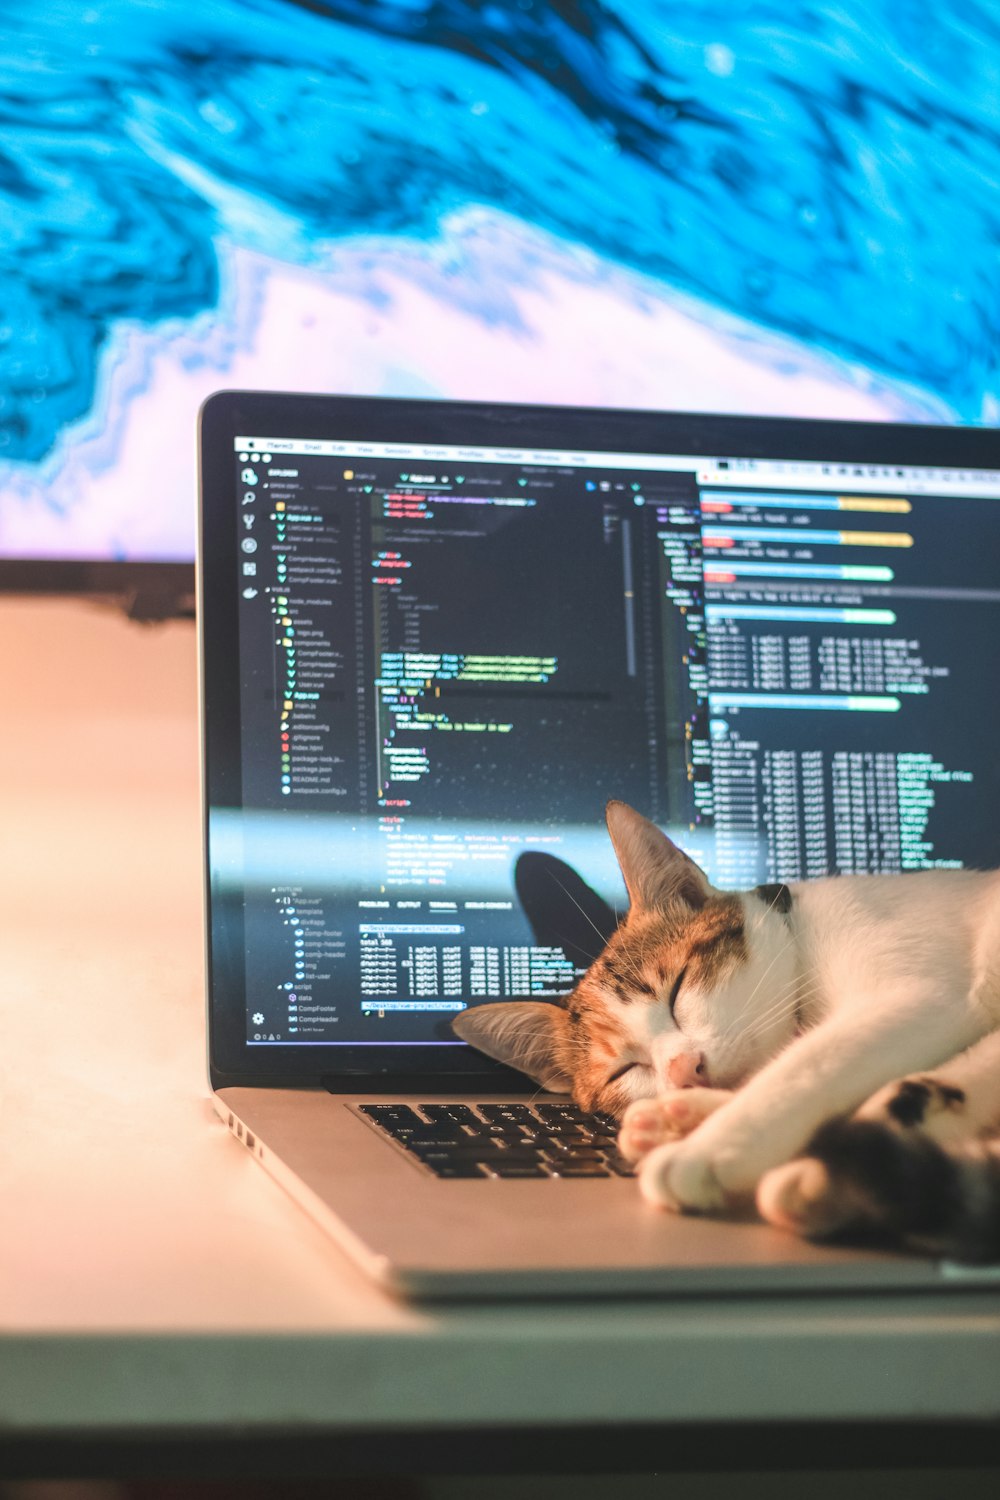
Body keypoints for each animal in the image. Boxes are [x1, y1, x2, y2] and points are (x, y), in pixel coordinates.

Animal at [452, 804, 1000, 1260]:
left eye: (677, 989)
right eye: (624, 1071)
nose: (684, 1069)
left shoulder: (914, 994)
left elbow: (804, 1067)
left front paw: (703, 1150)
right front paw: (684, 1121)